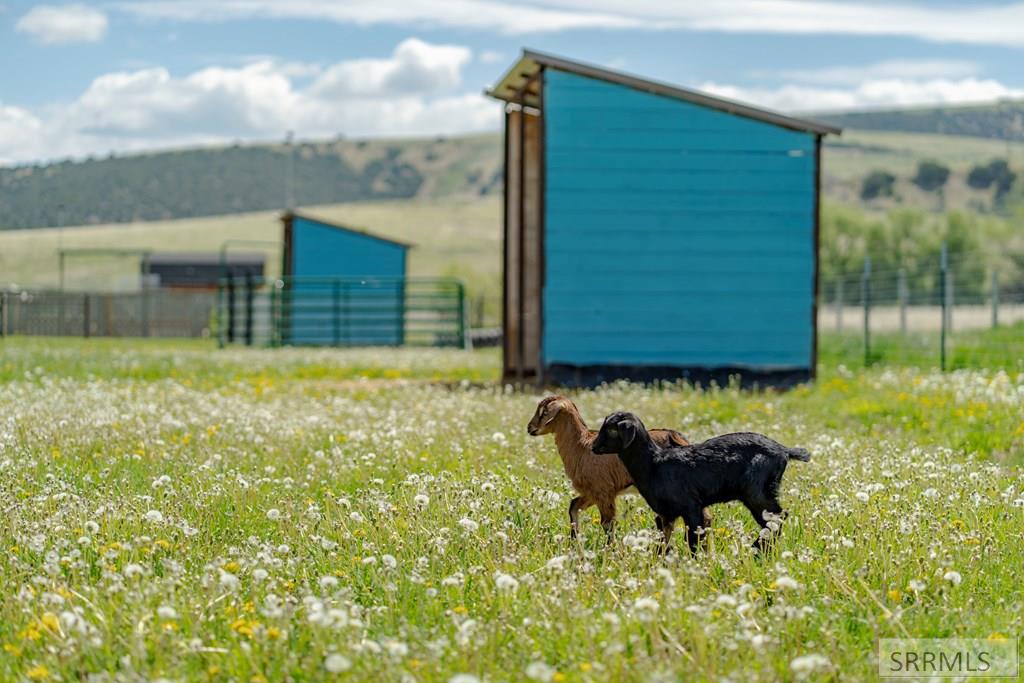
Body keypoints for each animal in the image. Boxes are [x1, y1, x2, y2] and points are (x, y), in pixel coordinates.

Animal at [527, 396, 710, 542]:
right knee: (705, 518)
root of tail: (675, 437)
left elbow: (607, 524)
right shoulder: (592, 493)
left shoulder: (603, 492)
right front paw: (574, 544)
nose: (530, 428)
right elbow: (573, 506)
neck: (581, 446)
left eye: (544, 412)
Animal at [592, 411, 810, 555]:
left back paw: (757, 549)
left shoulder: (691, 506)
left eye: (610, 430)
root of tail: (784, 450)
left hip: (757, 492)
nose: (593, 447)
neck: (653, 463)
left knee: (777, 517)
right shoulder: (666, 514)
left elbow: (694, 539)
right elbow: (664, 540)